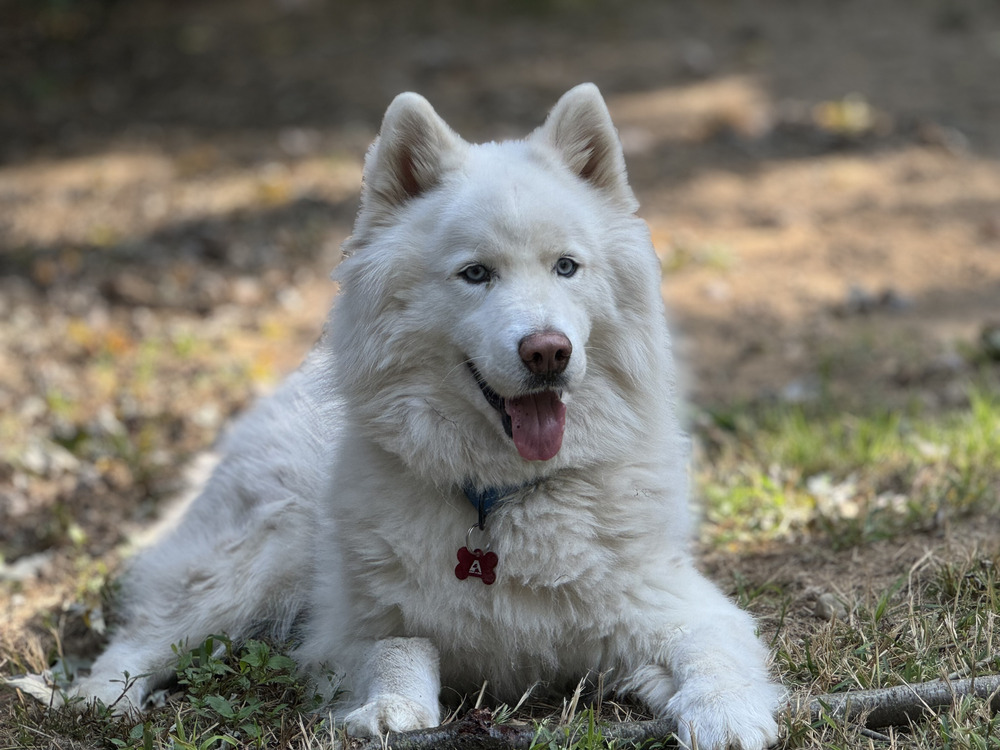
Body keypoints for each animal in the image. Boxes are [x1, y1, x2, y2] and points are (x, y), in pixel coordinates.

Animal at [74, 85, 784, 748]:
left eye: (566, 267)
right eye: (475, 274)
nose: (548, 351)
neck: (498, 499)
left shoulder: (673, 608)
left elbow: (710, 656)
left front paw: (727, 718)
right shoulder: (351, 628)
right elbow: (400, 648)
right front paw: (392, 709)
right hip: (253, 559)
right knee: (144, 636)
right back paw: (96, 699)